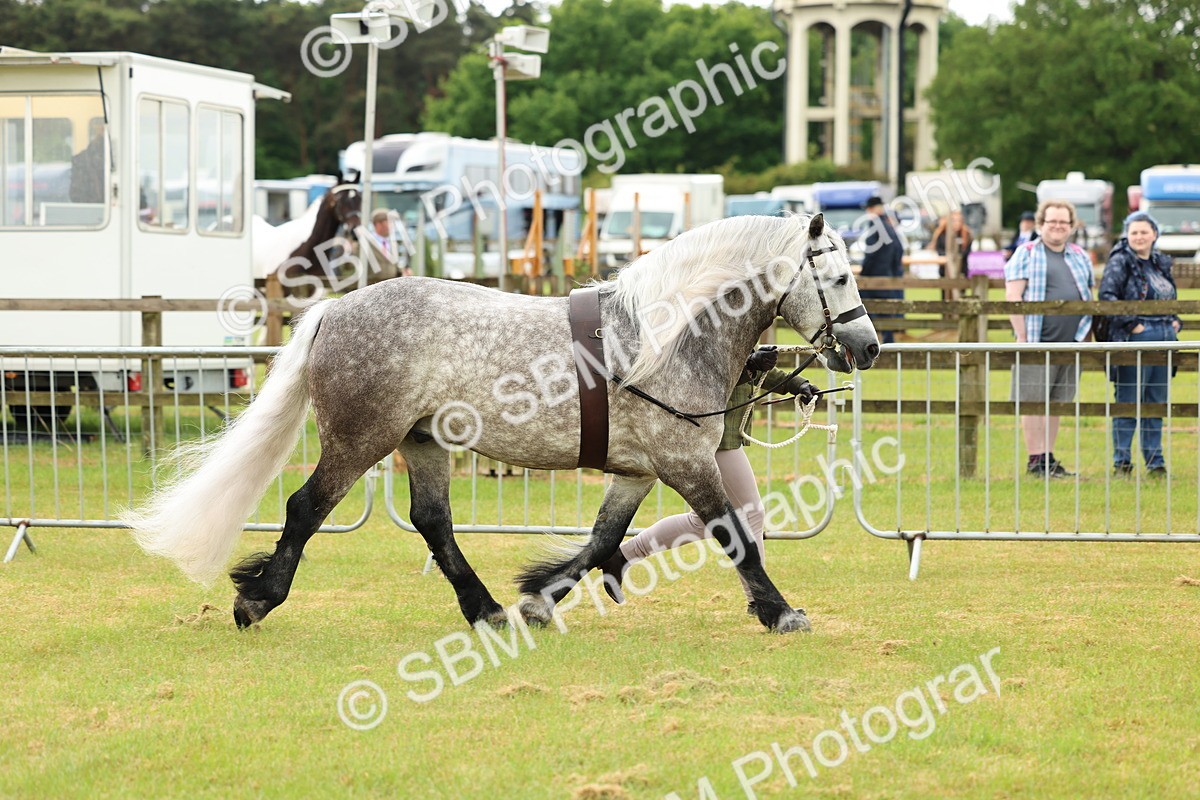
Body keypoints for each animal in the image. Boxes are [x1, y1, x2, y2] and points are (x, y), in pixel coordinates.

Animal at [123, 213, 879, 634]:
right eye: (840, 278)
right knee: (305, 508)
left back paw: (484, 608)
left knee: (433, 522)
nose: (870, 348)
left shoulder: (637, 472)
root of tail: (335, 310)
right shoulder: (684, 464)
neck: (662, 335)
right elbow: (734, 537)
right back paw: (257, 601)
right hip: (361, 440)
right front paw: (781, 612)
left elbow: (604, 540)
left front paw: (542, 600)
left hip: (424, 442)